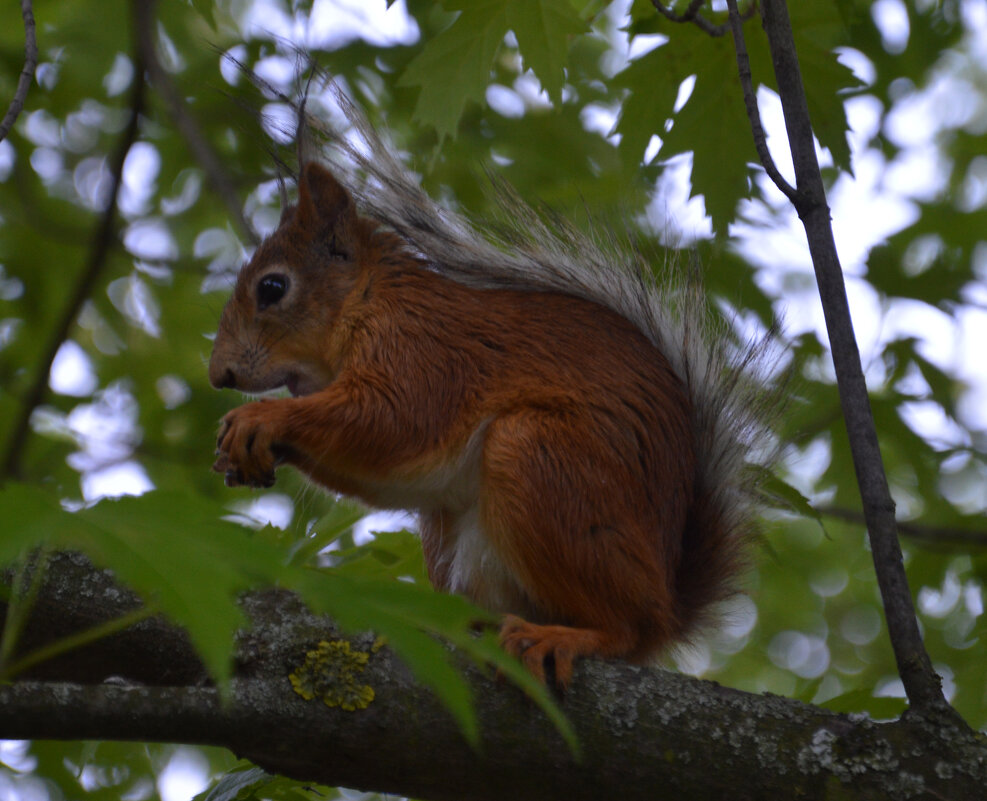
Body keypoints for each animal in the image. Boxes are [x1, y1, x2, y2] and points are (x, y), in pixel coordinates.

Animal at [210, 112, 780, 688]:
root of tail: (669, 604)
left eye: (273, 288)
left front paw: (260, 418)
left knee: (627, 629)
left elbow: (390, 419)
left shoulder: (423, 351)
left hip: (542, 461)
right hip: (451, 536)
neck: (368, 296)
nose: (219, 375)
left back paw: (567, 636)